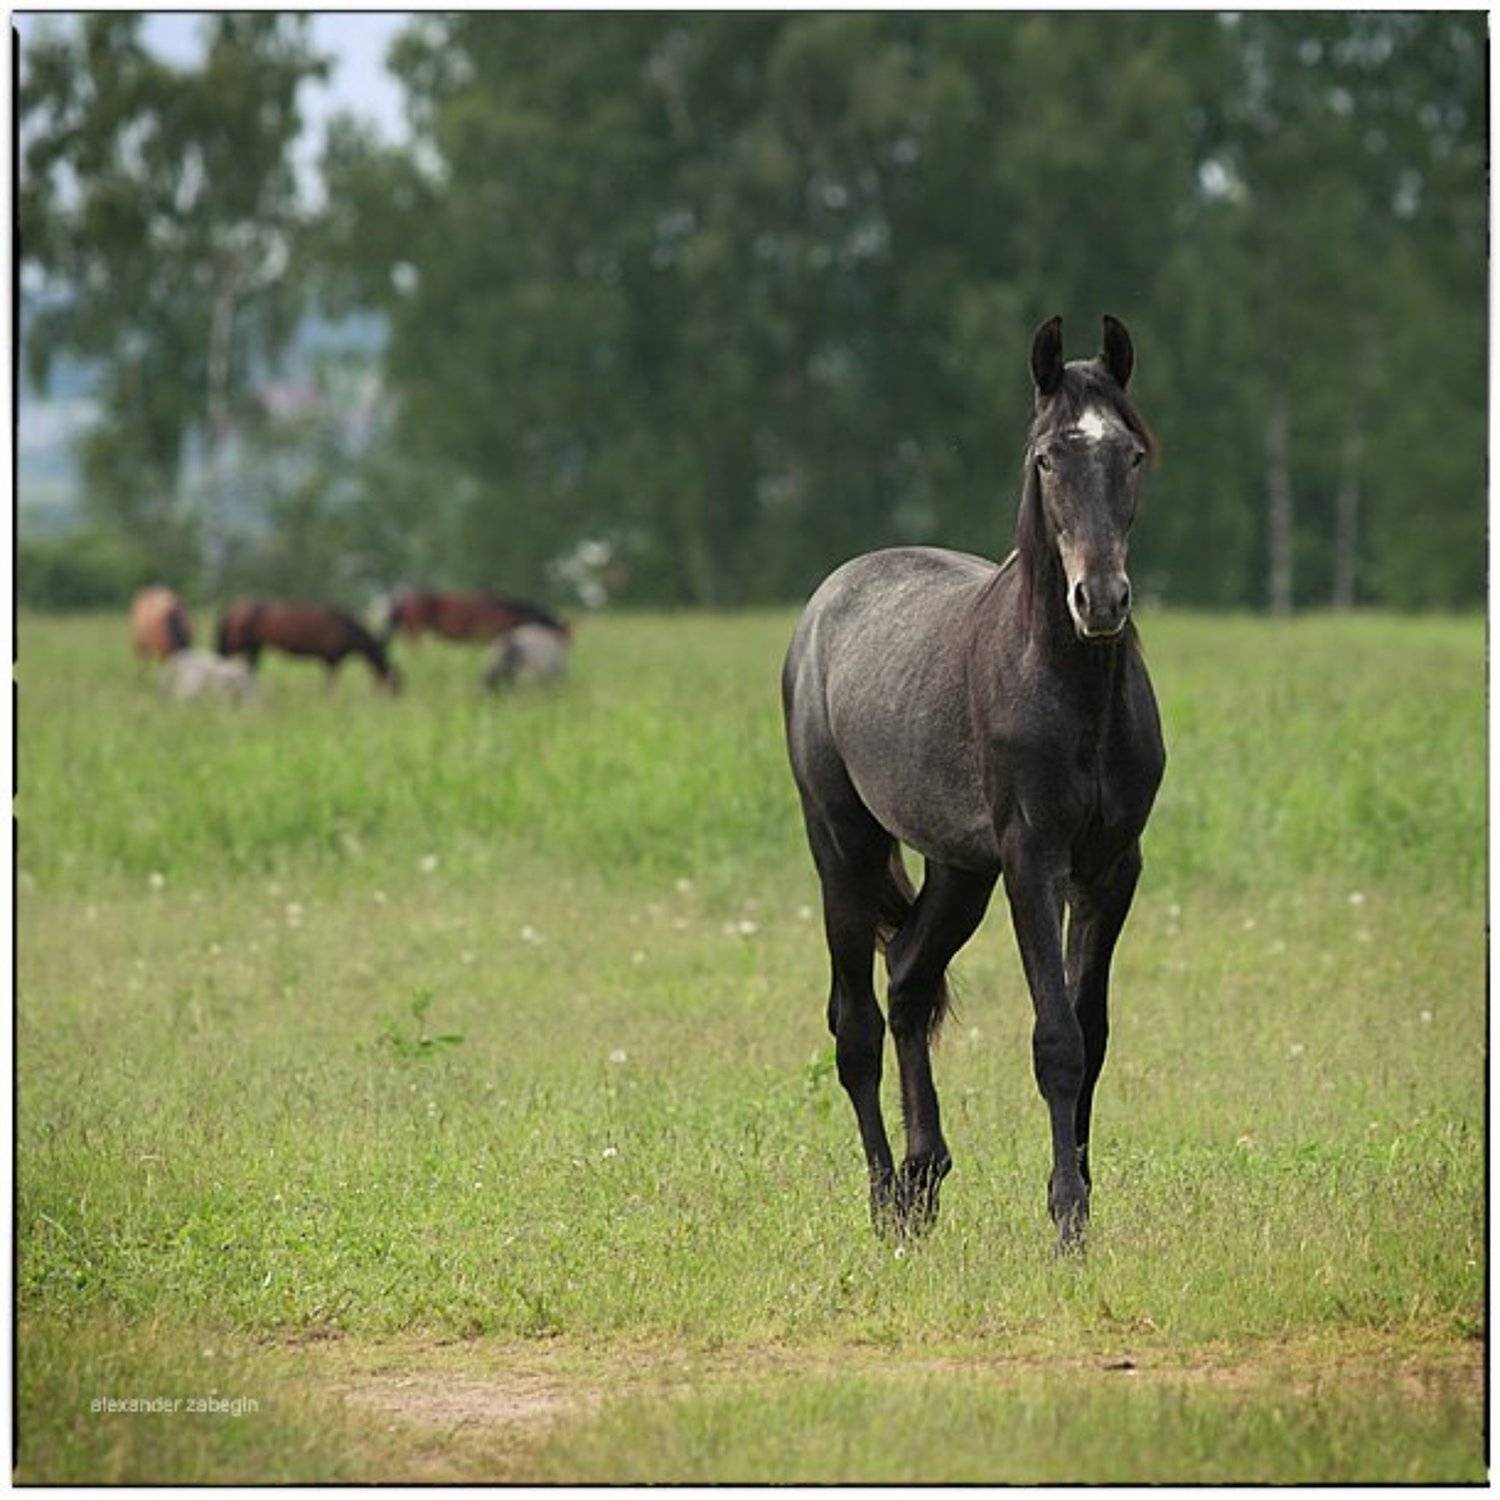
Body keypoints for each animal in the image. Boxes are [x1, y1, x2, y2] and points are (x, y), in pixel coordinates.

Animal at [217, 600, 402, 693]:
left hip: (255, 647)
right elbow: (331, 685)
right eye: (396, 684)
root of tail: (233, 610)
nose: (396, 698)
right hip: (237, 646)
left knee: (250, 671)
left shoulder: (331, 661)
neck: (348, 629)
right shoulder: (332, 660)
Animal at [782, 315, 1165, 1254]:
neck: (1069, 687)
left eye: (1132, 453)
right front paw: (1066, 1220)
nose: (1101, 600)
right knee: (856, 1022)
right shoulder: (1033, 862)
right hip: (843, 847)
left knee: (908, 981)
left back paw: (924, 1182)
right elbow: (1056, 1039)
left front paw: (1083, 1205)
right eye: (1047, 458)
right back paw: (886, 1199)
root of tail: (829, 597)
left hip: (960, 870)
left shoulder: (1110, 870)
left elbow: (1092, 1036)